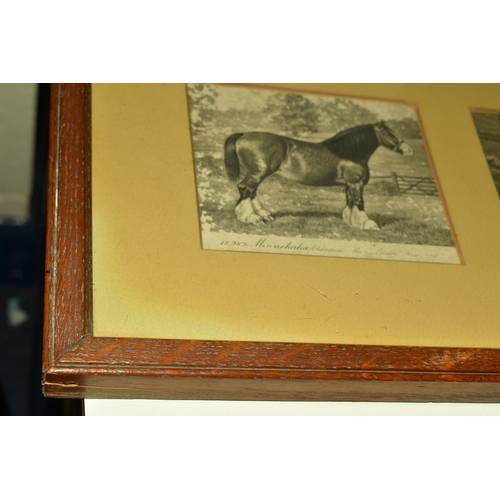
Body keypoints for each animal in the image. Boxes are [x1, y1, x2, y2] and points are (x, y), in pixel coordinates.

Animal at [225, 121, 412, 230]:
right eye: (388, 133)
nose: (409, 150)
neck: (348, 153)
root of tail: (243, 135)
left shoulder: (348, 184)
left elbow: (350, 202)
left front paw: (351, 221)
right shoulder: (355, 183)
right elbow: (359, 202)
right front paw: (368, 224)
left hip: (257, 173)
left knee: (252, 192)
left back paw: (263, 215)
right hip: (258, 173)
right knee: (245, 189)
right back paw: (251, 218)